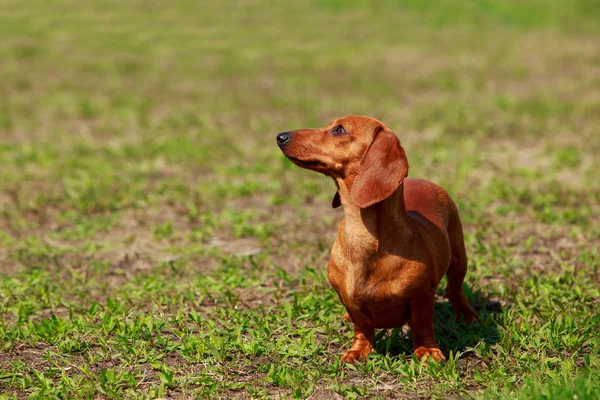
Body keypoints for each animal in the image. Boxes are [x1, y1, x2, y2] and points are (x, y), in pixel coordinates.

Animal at [276, 115, 478, 362]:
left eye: (339, 129)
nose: (281, 136)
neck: (366, 241)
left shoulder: (421, 296)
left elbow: (422, 324)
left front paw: (427, 351)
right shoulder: (348, 299)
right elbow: (361, 326)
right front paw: (358, 350)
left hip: (459, 259)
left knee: (454, 290)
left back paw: (467, 315)